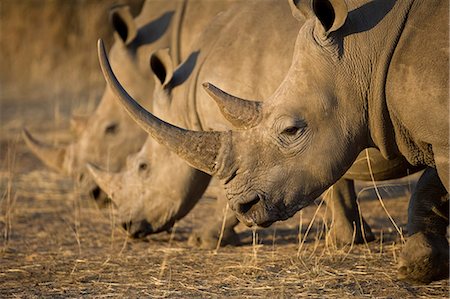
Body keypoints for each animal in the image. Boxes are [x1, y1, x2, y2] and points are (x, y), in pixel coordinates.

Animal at [97, 0, 446, 284]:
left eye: (143, 167)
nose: (127, 225)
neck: (184, 99)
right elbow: (340, 181)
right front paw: (351, 240)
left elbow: (229, 187)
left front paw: (204, 240)